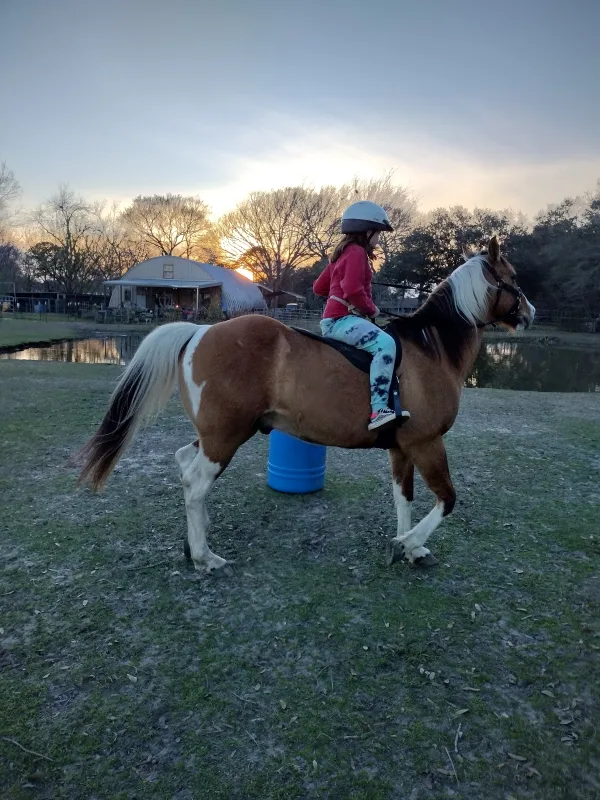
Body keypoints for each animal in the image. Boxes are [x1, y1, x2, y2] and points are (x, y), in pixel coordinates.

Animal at [76, 238, 536, 576]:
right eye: (513, 278)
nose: (531, 312)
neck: (429, 349)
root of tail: (199, 331)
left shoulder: (402, 448)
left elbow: (403, 498)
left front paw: (409, 549)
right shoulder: (427, 443)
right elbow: (446, 499)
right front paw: (407, 543)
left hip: (218, 434)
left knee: (183, 463)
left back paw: (196, 540)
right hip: (226, 437)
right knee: (194, 483)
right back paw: (206, 557)